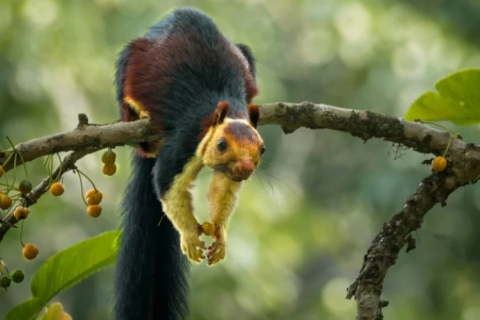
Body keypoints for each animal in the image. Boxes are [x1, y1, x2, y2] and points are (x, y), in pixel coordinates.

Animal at [114, 7, 264, 320]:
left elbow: (223, 191)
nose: (245, 169)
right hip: (128, 63)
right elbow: (166, 184)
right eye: (221, 144)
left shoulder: (227, 175)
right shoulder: (183, 142)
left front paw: (220, 235)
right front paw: (189, 237)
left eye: (262, 149)